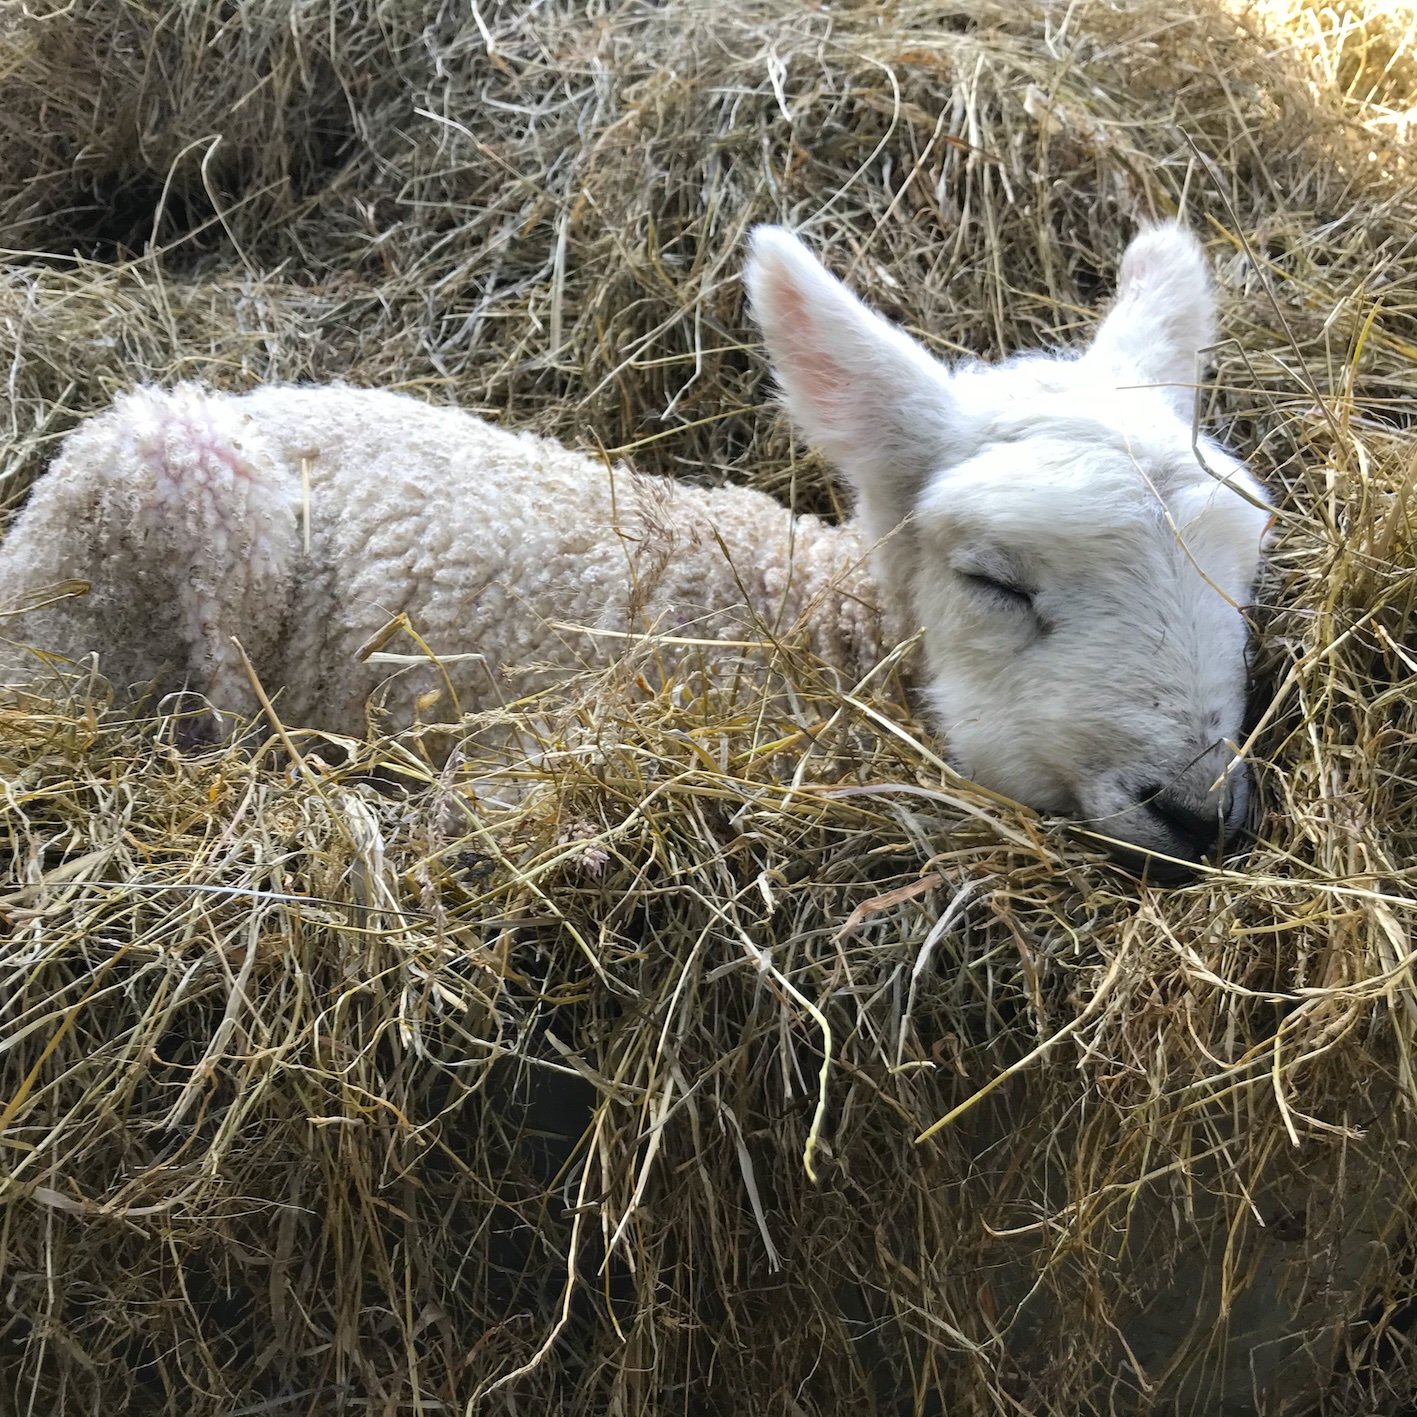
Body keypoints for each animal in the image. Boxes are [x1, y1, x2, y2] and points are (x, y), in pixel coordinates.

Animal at [0, 221, 1270, 868]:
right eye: (993, 581)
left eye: (1240, 576)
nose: (1195, 810)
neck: (805, 628)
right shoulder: (521, 767)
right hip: (152, 517)